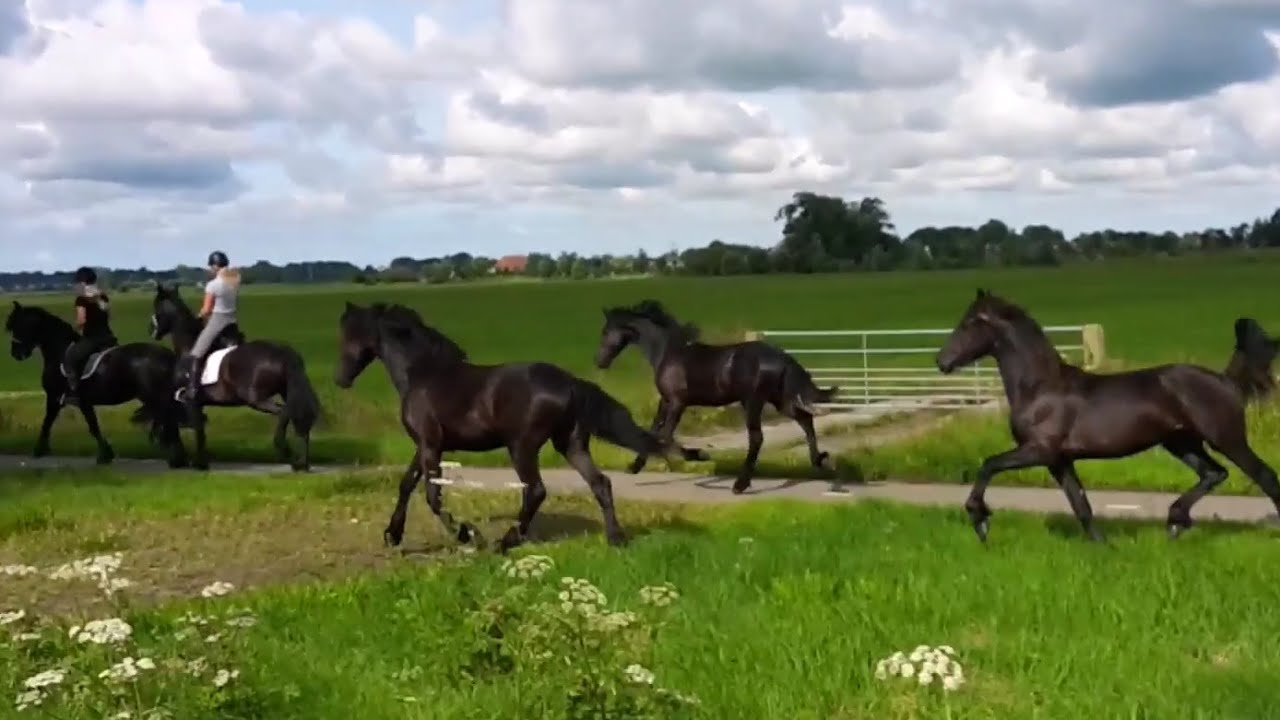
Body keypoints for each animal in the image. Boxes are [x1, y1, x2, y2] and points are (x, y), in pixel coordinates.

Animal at [4, 301, 189, 468]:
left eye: (19, 325)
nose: (16, 354)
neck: (60, 352)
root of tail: (168, 356)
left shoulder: (56, 398)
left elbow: (50, 422)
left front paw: (39, 450)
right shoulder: (80, 401)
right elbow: (91, 425)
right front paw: (106, 455)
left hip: (152, 396)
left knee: (169, 419)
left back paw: (176, 459)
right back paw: (178, 458)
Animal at [148, 284, 322, 471]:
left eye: (157, 306)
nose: (151, 330)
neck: (189, 347)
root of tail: (283, 352)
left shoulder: (191, 402)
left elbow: (197, 429)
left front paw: (200, 463)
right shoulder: (199, 403)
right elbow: (200, 430)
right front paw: (200, 461)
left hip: (256, 399)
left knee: (284, 412)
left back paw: (285, 450)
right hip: (285, 392)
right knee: (297, 419)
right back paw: (301, 463)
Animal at [334, 301, 709, 552]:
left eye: (348, 335)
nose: (339, 379)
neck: (423, 373)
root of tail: (571, 383)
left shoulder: (430, 444)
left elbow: (431, 495)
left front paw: (468, 534)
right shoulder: (426, 444)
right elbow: (407, 485)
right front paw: (392, 535)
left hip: (523, 446)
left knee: (537, 490)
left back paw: (507, 541)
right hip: (570, 443)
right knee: (600, 483)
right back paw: (616, 538)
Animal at [595, 300, 838, 494]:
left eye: (605, 332)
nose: (599, 362)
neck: (669, 354)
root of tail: (782, 357)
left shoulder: (677, 402)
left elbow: (665, 435)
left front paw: (699, 455)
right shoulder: (665, 401)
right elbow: (653, 431)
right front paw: (634, 467)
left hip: (753, 402)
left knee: (757, 438)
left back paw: (740, 484)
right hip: (780, 400)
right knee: (805, 420)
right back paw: (821, 461)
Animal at [935, 288, 1280, 543]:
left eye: (970, 322)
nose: (942, 361)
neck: (1040, 388)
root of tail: (1225, 380)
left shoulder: (1038, 450)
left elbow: (988, 464)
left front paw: (980, 519)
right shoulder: (1058, 460)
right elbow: (1081, 505)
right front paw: (1103, 547)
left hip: (1226, 439)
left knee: (1265, 476)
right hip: (1181, 443)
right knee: (1213, 473)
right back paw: (1175, 521)